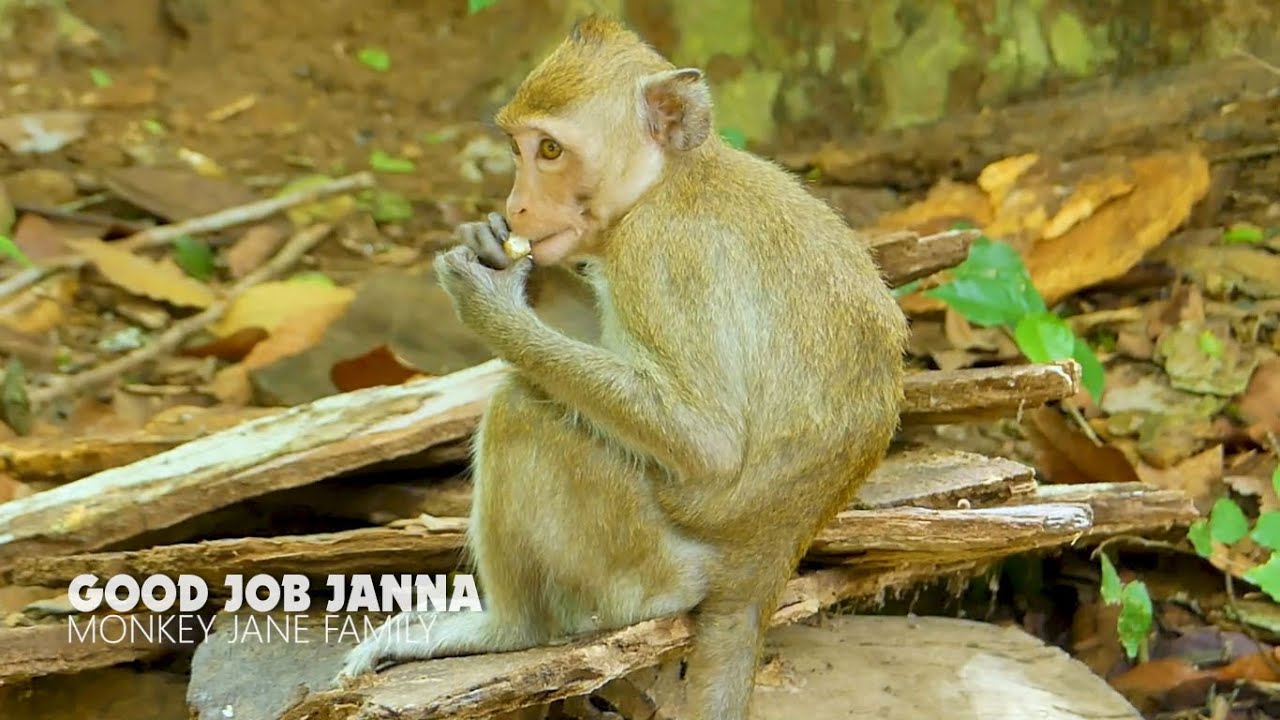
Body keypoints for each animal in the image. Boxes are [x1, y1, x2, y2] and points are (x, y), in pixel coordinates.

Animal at [337, 15, 907, 720]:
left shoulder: (663, 254)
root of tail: (764, 565)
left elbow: (708, 444)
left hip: (646, 570)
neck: (670, 180)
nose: (516, 205)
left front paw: (490, 304)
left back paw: (507, 629)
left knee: (523, 412)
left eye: (550, 150)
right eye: (518, 150)